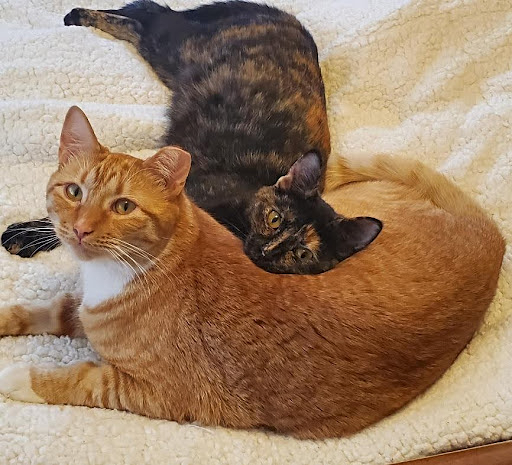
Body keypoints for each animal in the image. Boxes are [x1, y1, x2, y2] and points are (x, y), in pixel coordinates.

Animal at [0, 106, 504, 438]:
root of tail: (492, 235)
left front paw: (17, 377)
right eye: (73, 191)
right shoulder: (78, 309)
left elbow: (78, 380)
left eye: (123, 206)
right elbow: (41, 311)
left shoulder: (158, 394)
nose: (80, 229)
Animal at [1, 0, 380, 272]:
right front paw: (29, 234)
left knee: (144, 18)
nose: (266, 250)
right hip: (174, 46)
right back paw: (79, 15)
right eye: (274, 219)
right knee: (149, 13)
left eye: (302, 254)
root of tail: (287, 18)